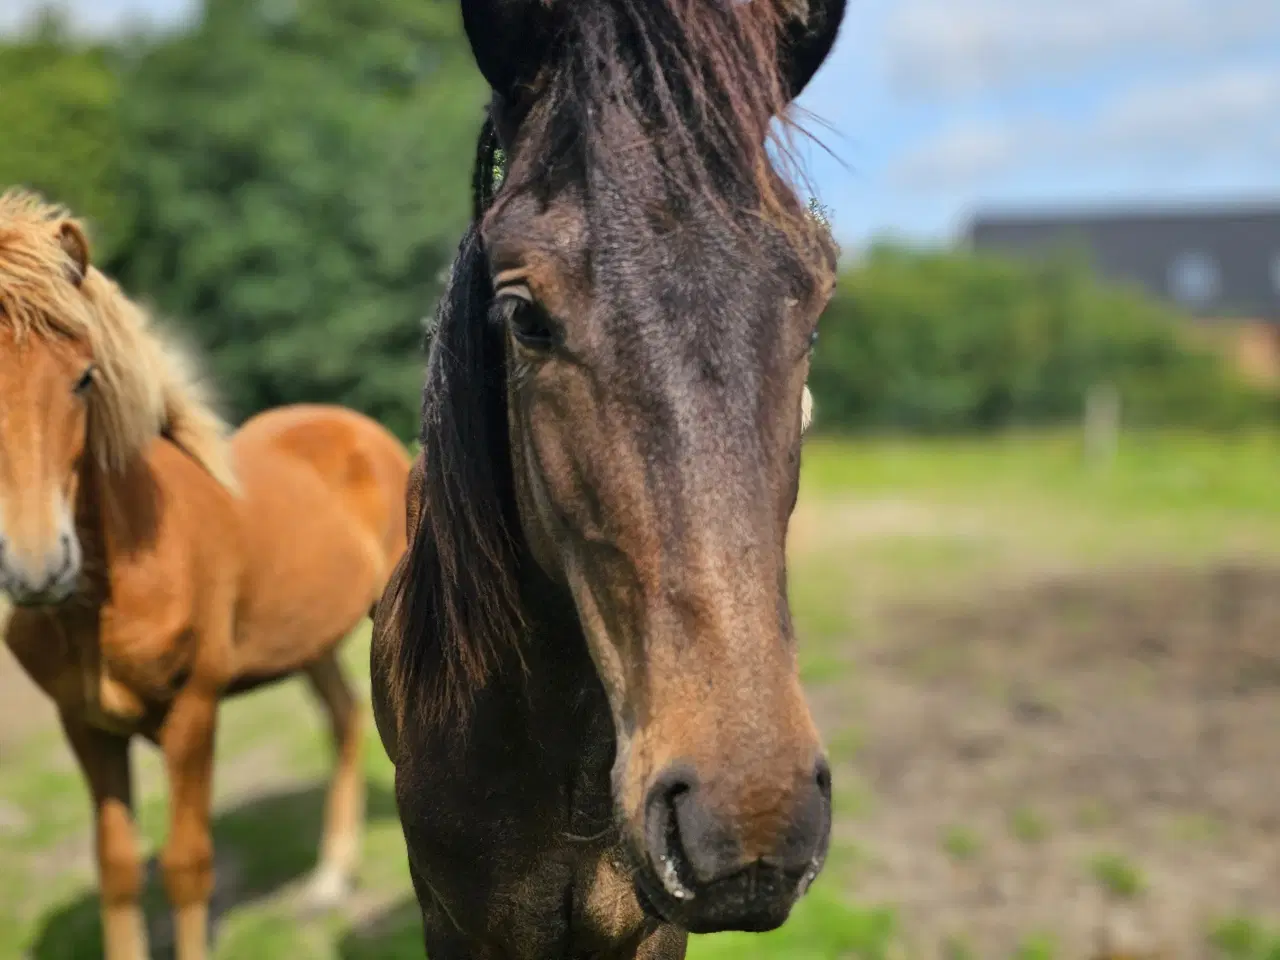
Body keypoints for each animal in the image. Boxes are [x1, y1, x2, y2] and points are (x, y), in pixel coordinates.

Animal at [0, 189, 409, 960]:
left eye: (83, 378)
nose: (38, 568)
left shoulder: (193, 713)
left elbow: (188, 865)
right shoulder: (85, 724)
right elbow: (118, 868)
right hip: (310, 642)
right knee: (344, 718)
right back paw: (329, 881)